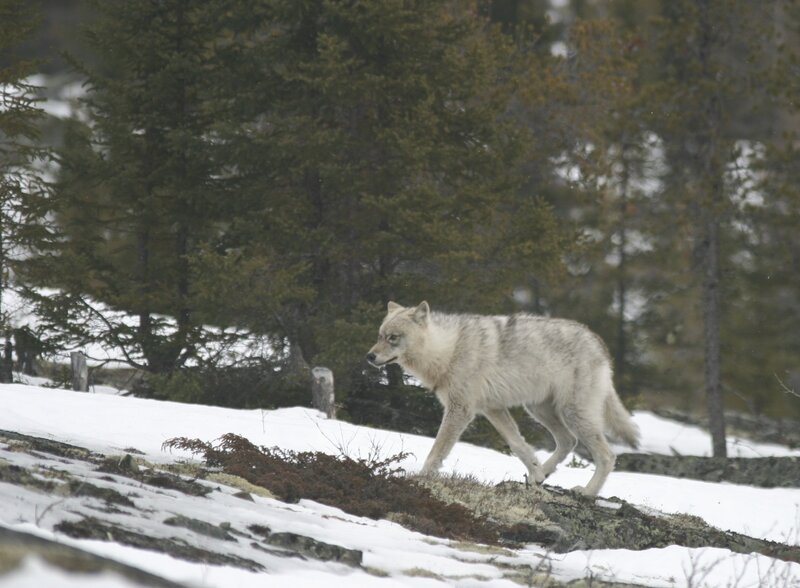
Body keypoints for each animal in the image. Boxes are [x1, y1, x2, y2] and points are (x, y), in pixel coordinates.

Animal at [367, 301, 640, 497]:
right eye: (379, 336)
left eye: (392, 337)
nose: (369, 356)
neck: (448, 350)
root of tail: (598, 342)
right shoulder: (493, 409)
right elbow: (518, 445)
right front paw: (535, 472)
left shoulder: (461, 410)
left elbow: (436, 451)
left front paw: (420, 478)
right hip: (539, 410)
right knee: (567, 442)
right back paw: (542, 475)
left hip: (571, 413)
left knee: (607, 456)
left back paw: (587, 493)